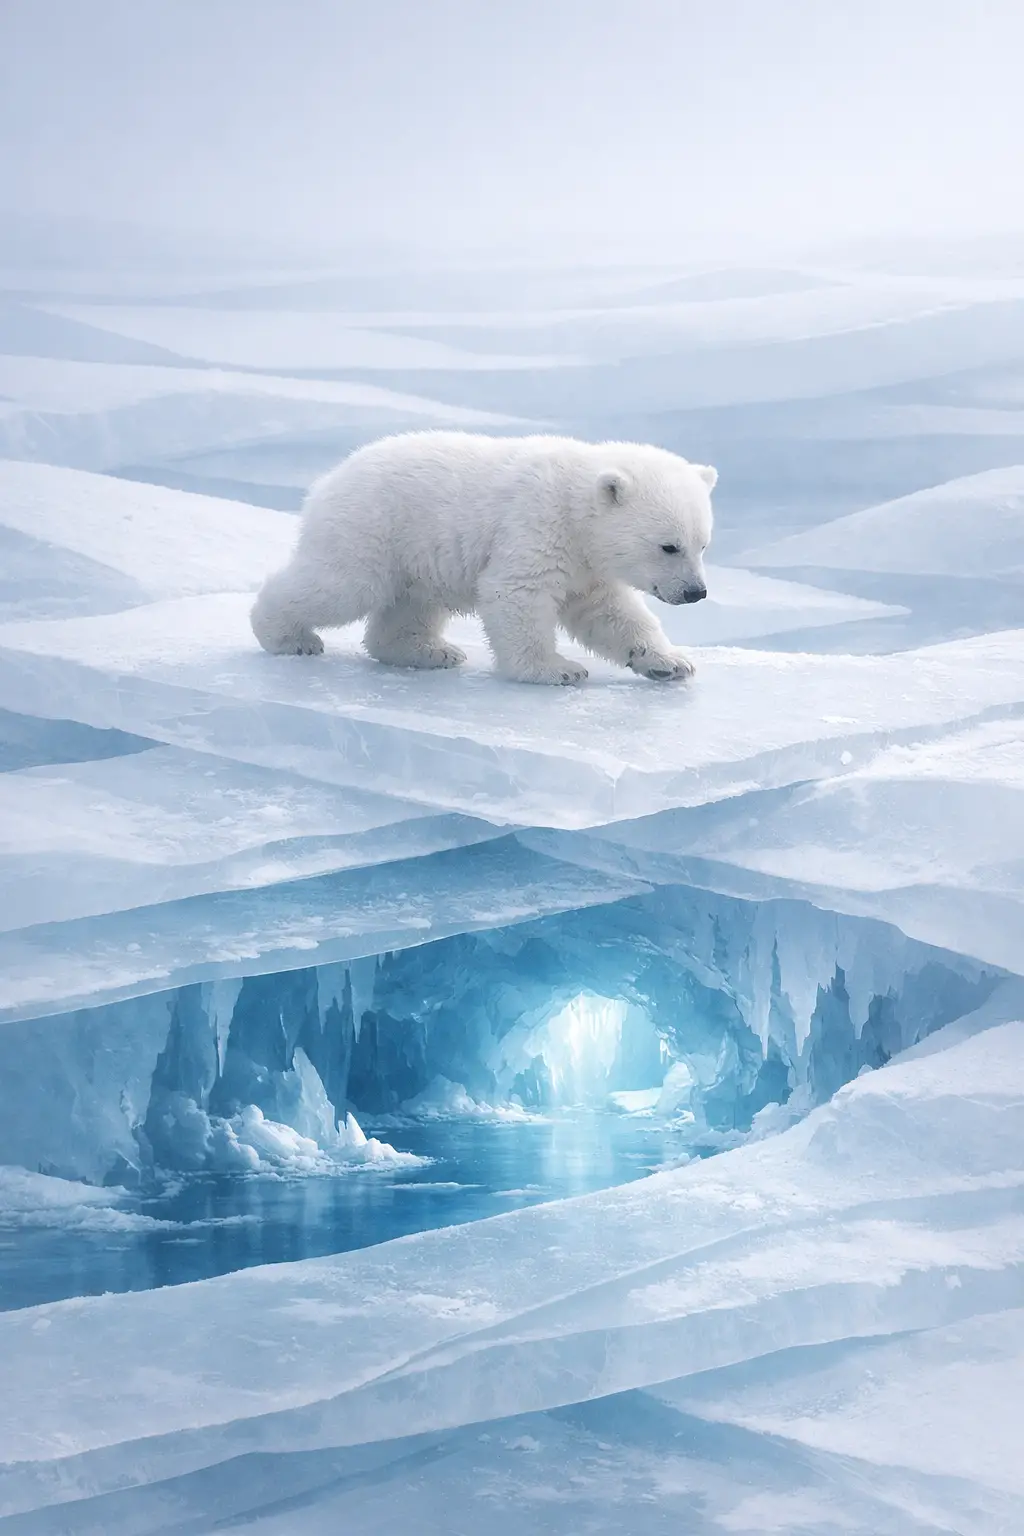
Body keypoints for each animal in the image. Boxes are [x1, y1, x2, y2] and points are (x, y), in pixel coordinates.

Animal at [250, 430, 716, 685]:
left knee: (410, 606)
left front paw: (670, 663)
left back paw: (431, 651)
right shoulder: (534, 525)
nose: (696, 592)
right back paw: (289, 637)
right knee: (342, 587)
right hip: (373, 527)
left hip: (418, 556)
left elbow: (610, 612)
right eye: (668, 546)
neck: (575, 504)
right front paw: (558, 669)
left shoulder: (588, 565)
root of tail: (329, 478)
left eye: (703, 544)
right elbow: (516, 594)